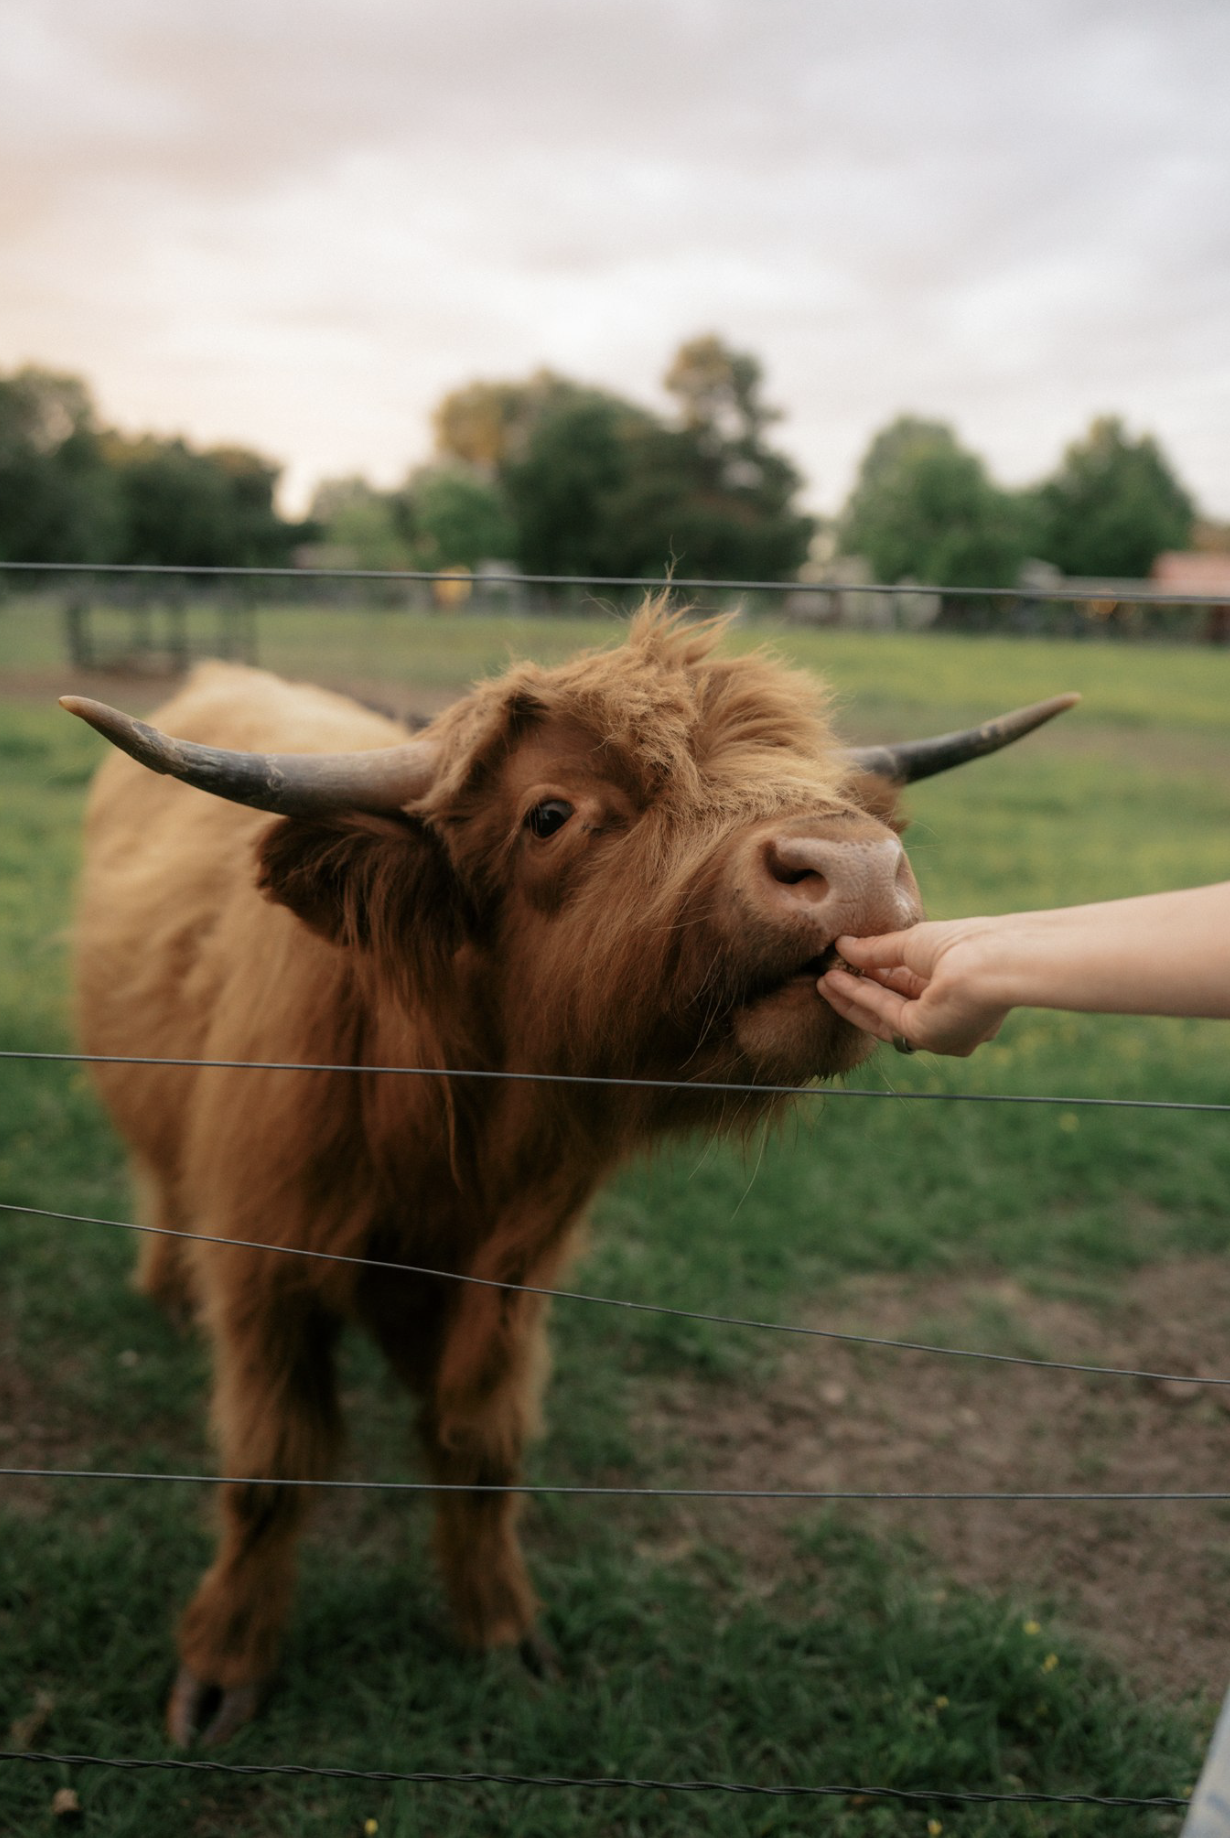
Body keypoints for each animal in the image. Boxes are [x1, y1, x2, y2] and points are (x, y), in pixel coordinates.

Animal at [64, 600, 1075, 1744]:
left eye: (822, 783)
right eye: (550, 812)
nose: (857, 869)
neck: (438, 1137)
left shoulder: (511, 1275)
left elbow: (480, 1443)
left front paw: (502, 1630)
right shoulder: (266, 1269)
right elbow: (273, 1465)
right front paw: (224, 1666)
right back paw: (164, 1287)